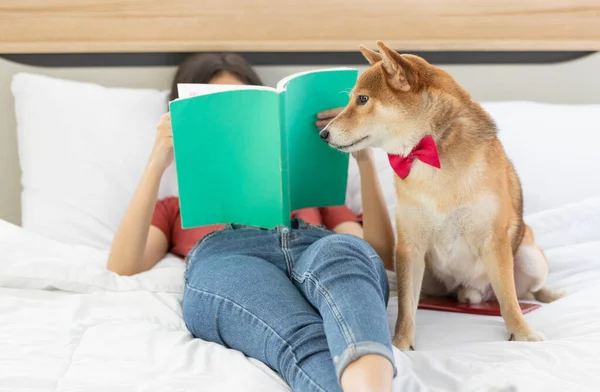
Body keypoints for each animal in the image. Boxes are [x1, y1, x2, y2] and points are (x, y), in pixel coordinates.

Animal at [322, 41, 564, 350]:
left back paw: (548, 295)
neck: (427, 155)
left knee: (526, 292)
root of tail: (470, 292)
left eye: (362, 99)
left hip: (530, 257)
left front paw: (523, 333)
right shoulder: (409, 247)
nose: (323, 133)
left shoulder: (493, 241)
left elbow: (509, 300)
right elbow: (406, 309)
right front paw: (402, 343)